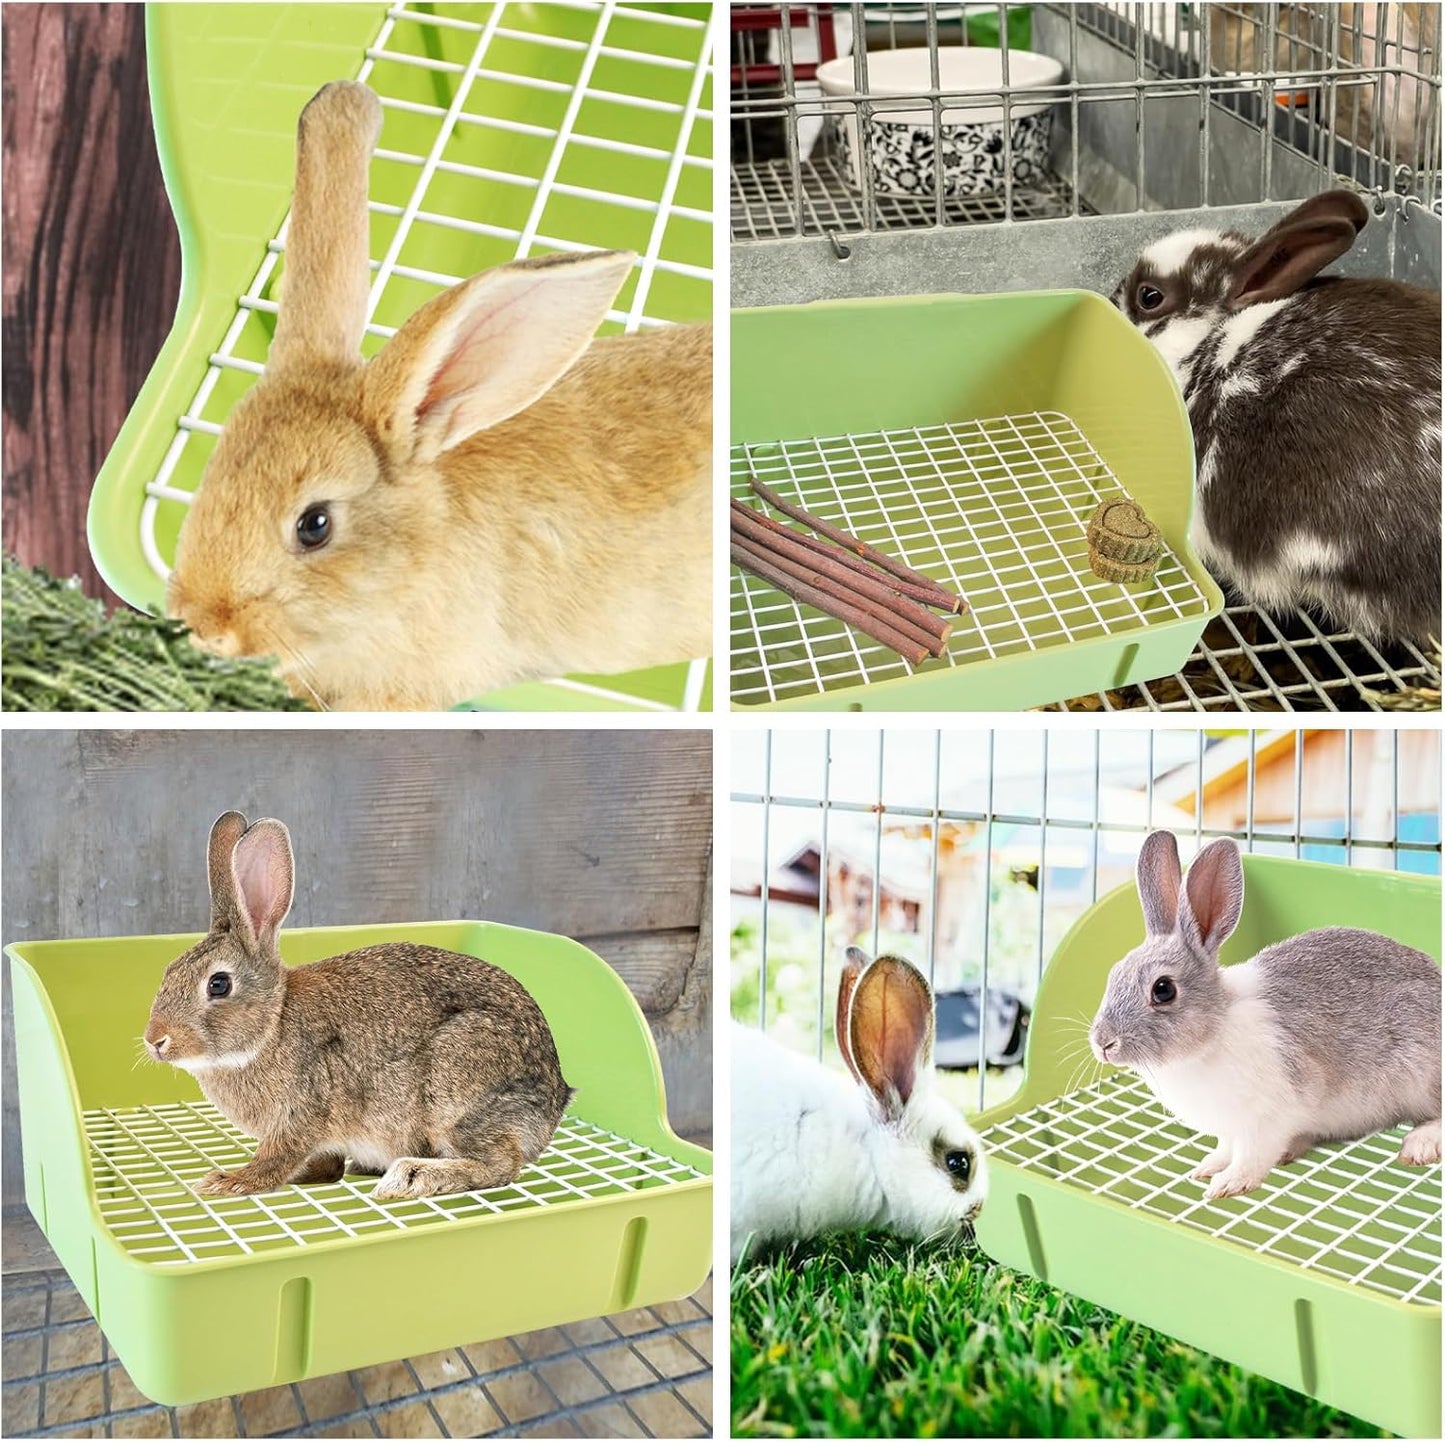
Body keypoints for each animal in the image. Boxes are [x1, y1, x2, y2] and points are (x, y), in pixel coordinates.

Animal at [142, 810, 573, 1199]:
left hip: (458, 1084)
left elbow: (277, 1158)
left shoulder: (303, 1112)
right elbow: (324, 1164)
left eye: (218, 984)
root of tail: (555, 1100)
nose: (155, 1040)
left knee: (499, 1165)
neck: (271, 1028)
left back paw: (412, 1177)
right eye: (168, 971)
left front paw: (229, 1181)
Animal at [1089, 829, 1442, 1200]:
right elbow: (1226, 1148)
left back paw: (1419, 1145)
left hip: (1422, 1076)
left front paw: (1228, 1184)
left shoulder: (1268, 1118)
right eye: (1114, 974)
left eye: (1162, 989)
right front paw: (1207, 1167)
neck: (1212, 1034)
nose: (1103, 1043)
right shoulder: (1230, 1129)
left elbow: (1252, 1155)